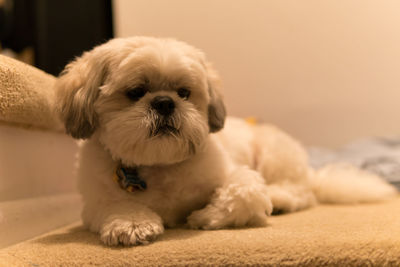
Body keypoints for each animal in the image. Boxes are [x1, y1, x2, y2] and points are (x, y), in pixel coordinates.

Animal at [54, 36, 396, 247]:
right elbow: (118, 205)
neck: (159, 164)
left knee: (301, 193)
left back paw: (280, 200)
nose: (164, 102)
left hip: (274, 154)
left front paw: (203, 217)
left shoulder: (236, 175)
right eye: (136, 92)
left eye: (184, 92)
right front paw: (132, 224)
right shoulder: (95, 203)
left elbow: (244, 194)